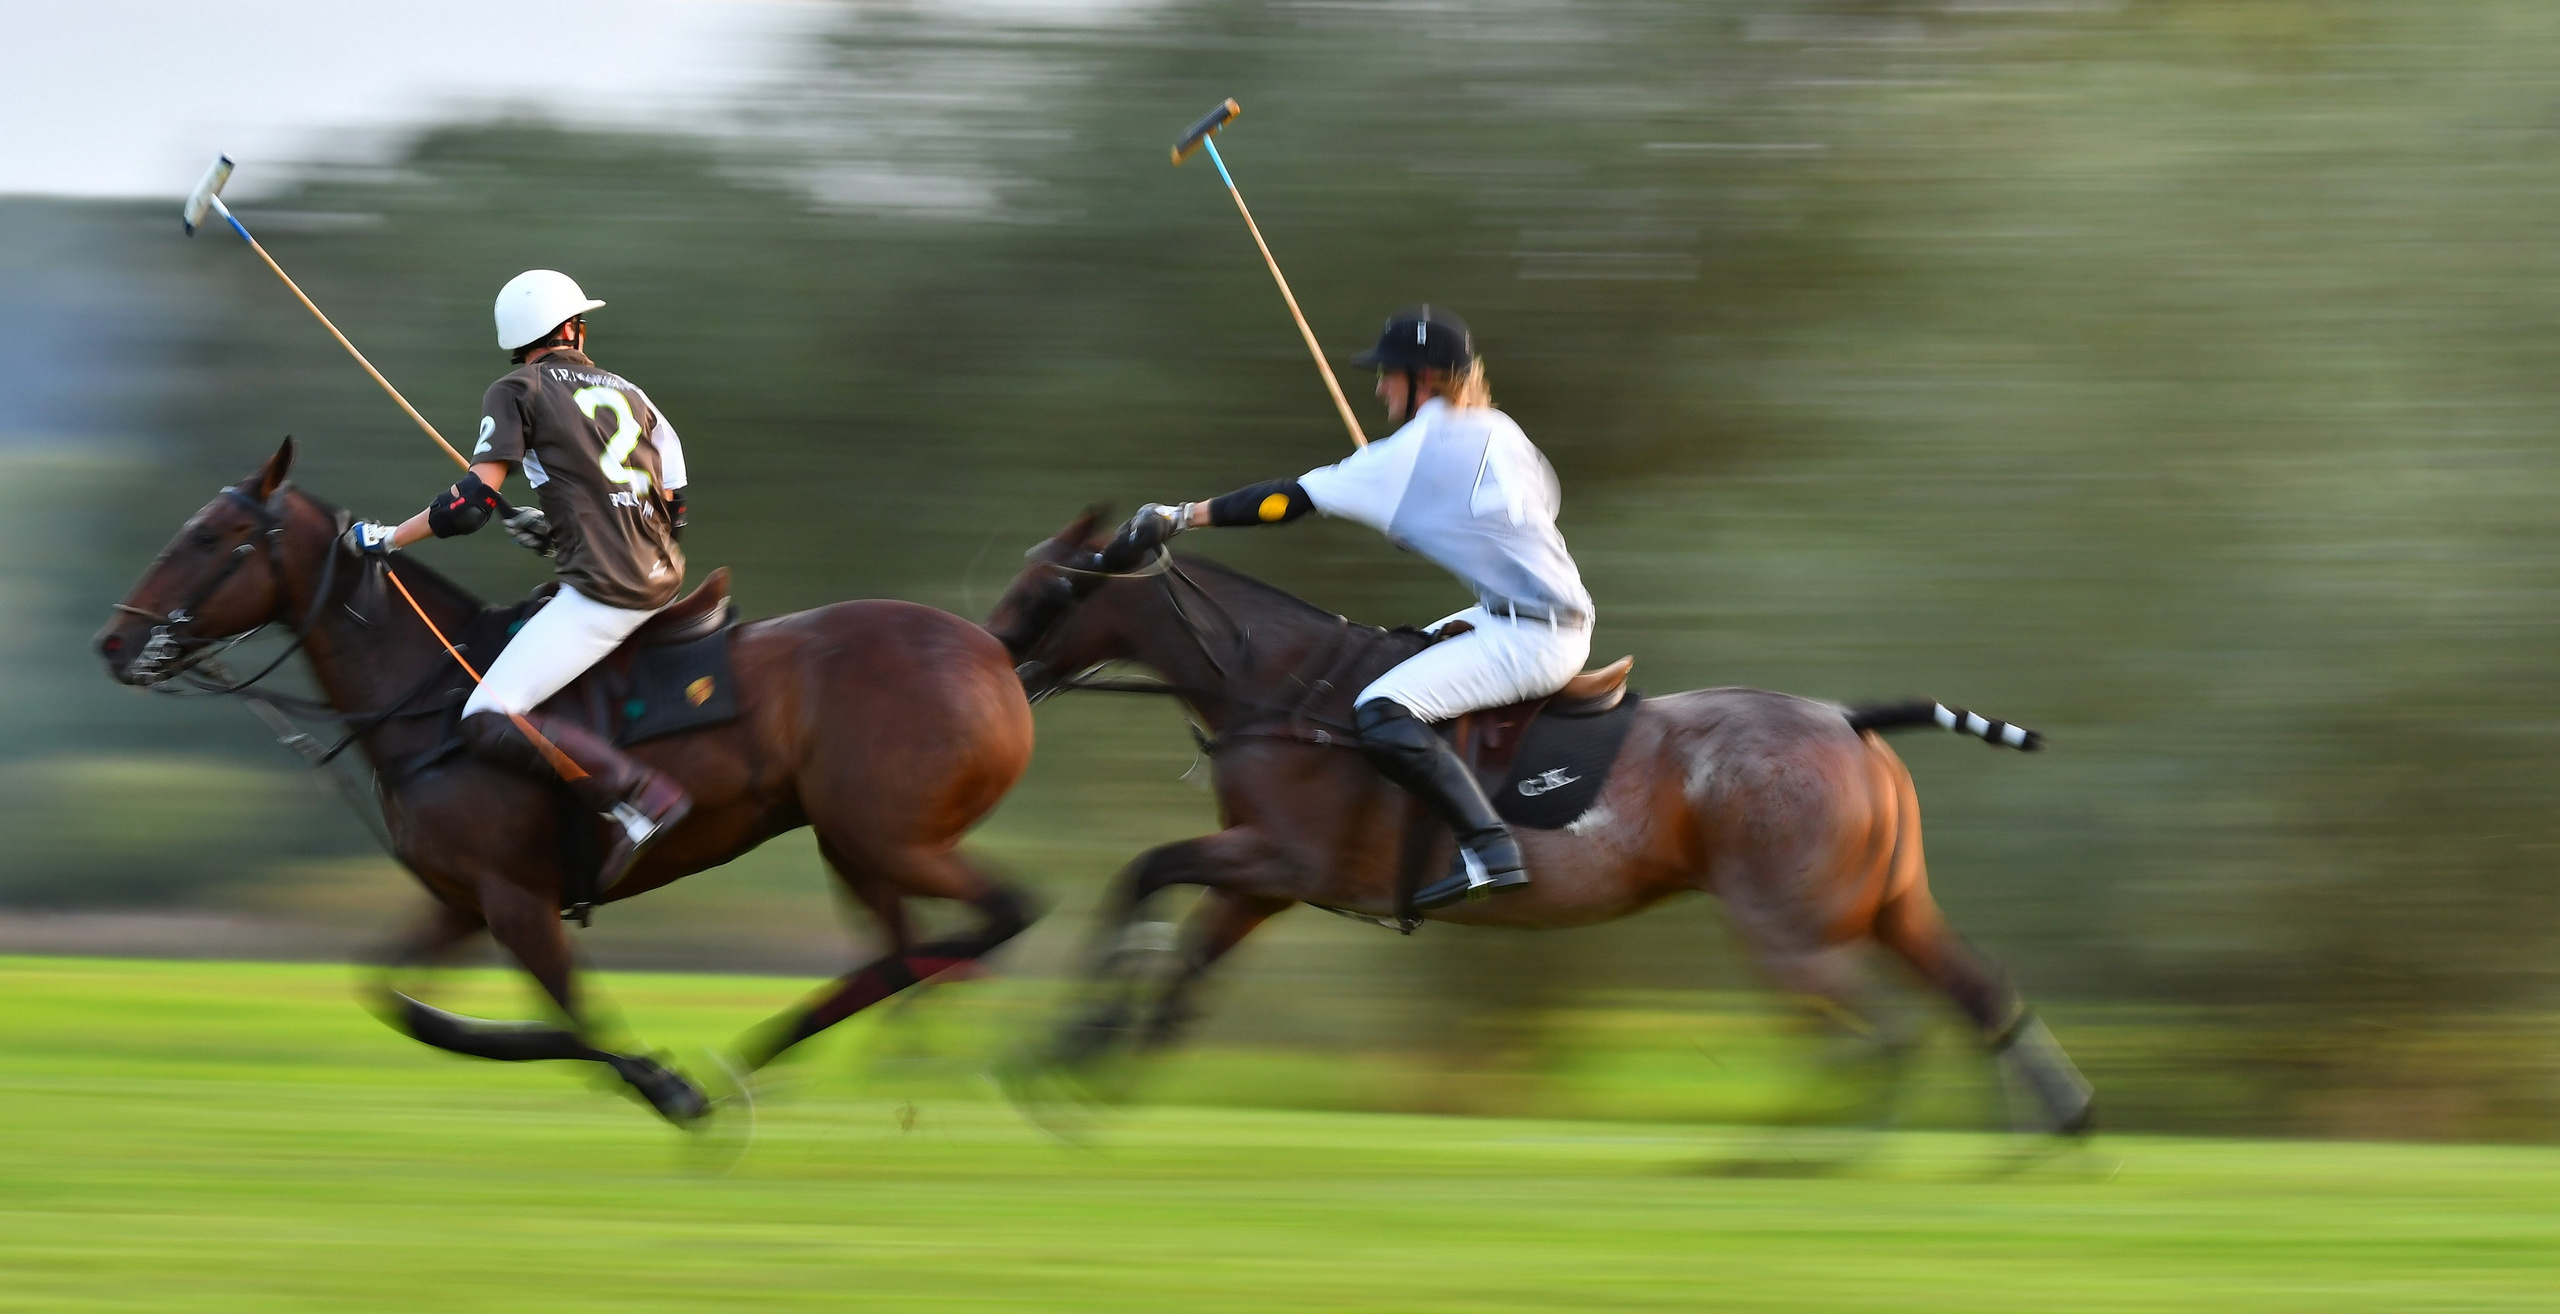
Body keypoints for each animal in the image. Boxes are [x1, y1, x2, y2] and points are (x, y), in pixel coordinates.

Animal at [94, 439, 1037, 1123]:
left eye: (206, 538)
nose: (113, 641)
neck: (426, 693)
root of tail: (995, 655)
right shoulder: (461, 900)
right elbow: (408, 1006)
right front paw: (661, 1080)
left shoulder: (515, 896)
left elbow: (571, 1011)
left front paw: (667, 1086)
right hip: (852, 841)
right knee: (902, 950)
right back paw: (795, 1060)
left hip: (889, 836)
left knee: (1001, 914)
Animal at [985, 511, 2095, 1139]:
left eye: (1048, 586)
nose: (991, 664)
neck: (1283, 687)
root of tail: (1845, 718)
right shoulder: (1261, 884)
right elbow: (1182, 971)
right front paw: (1081, 1066)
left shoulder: (1281, 858)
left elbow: (1141, 873)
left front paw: (1070, 1046)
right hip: (1888, 904)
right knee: (1977, 992)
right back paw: (2055, 1126)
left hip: (1786, 925)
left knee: (1878, 1035)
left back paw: (1785, 1158)